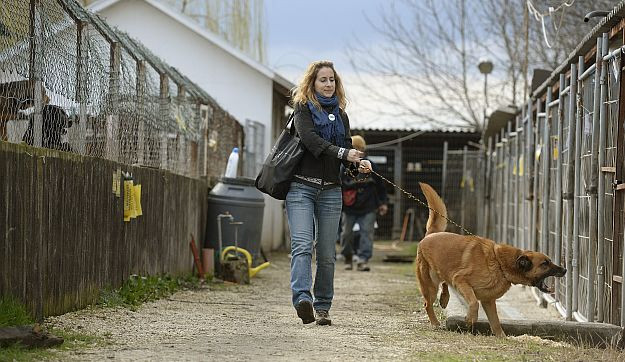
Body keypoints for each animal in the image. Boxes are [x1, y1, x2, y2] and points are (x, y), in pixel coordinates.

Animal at [414, 182, 564, 338]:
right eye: (545, 263)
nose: (564, 270)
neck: (500, 263)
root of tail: (431, 234)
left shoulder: (488, 301)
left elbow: (496, 322)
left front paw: (502, 337)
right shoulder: (461, 280)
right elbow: (474, 303)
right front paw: (470, 319)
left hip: (442, 274)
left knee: (444, 281)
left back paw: (444, 298)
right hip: (430, 284)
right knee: (428, 303)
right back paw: (435, 322)